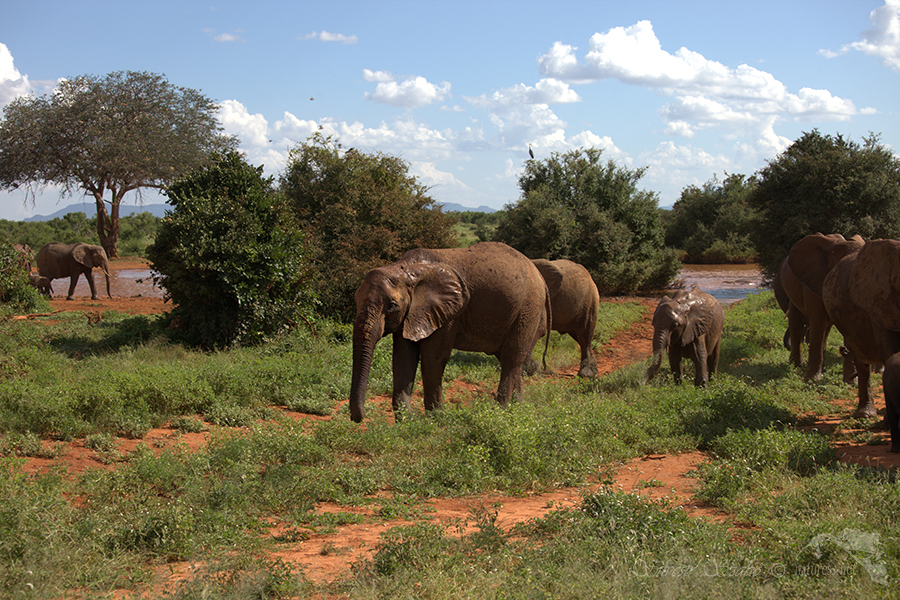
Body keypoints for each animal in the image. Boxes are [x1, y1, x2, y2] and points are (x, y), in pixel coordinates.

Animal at [350, 240, 548, 422]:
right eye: (356, 300)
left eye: (391, 306)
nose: (357, 418)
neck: (407, 269)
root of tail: (537, 272)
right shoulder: (410, 314)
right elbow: (403, 359)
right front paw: (406, 422)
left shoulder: (448, 314)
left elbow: (433, 358)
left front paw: (435, 419)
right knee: (509, 358)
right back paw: (518, 407)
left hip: (528, 309)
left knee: (511, 357)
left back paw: (500, 412)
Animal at [772, 232, 864, 382]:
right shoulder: (814, 280)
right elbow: (817, 321)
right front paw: (812, 380)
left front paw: (851, 382)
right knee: (796, 324)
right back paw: (797, 365)